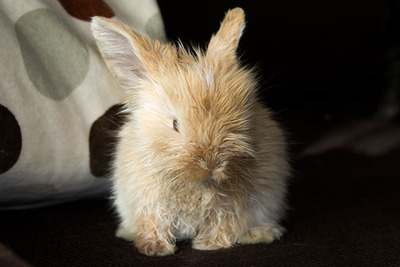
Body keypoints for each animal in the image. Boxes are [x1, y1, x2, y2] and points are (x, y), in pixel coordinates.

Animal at [91, 7, 290, 256]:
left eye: (243, 117)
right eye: (176, 124)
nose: (213, 165)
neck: (194, 184)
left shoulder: (231, 206)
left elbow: (222, 223)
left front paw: (208, 245)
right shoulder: (148, 201)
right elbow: (154, 222)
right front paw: (154, 248)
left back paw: (261, 233)